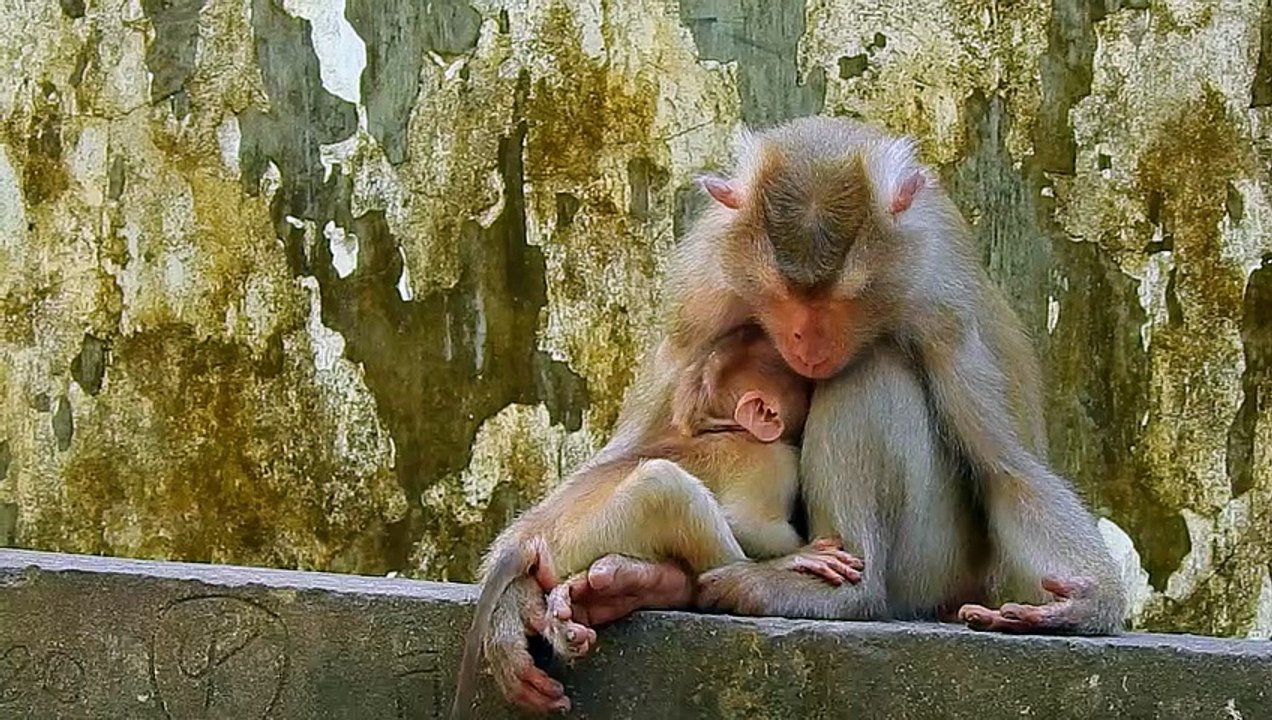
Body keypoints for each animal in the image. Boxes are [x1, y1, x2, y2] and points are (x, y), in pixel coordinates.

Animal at [450, 324, 863, 718]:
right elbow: (745, 521)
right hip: (602, 528)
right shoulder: (775, 461)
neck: (728, 429)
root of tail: (532, 535)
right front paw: (795, 557)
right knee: (665, 484)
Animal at [560, 115, 1127, 638]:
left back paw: (842, 593)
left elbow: (1008, 470)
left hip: (934, 565)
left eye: (846, 296)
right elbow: (631, 448)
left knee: (874, 370)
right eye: (780, 294)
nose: (807, 343)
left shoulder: (946, 313)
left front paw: (1087, 603)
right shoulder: (702, 293)